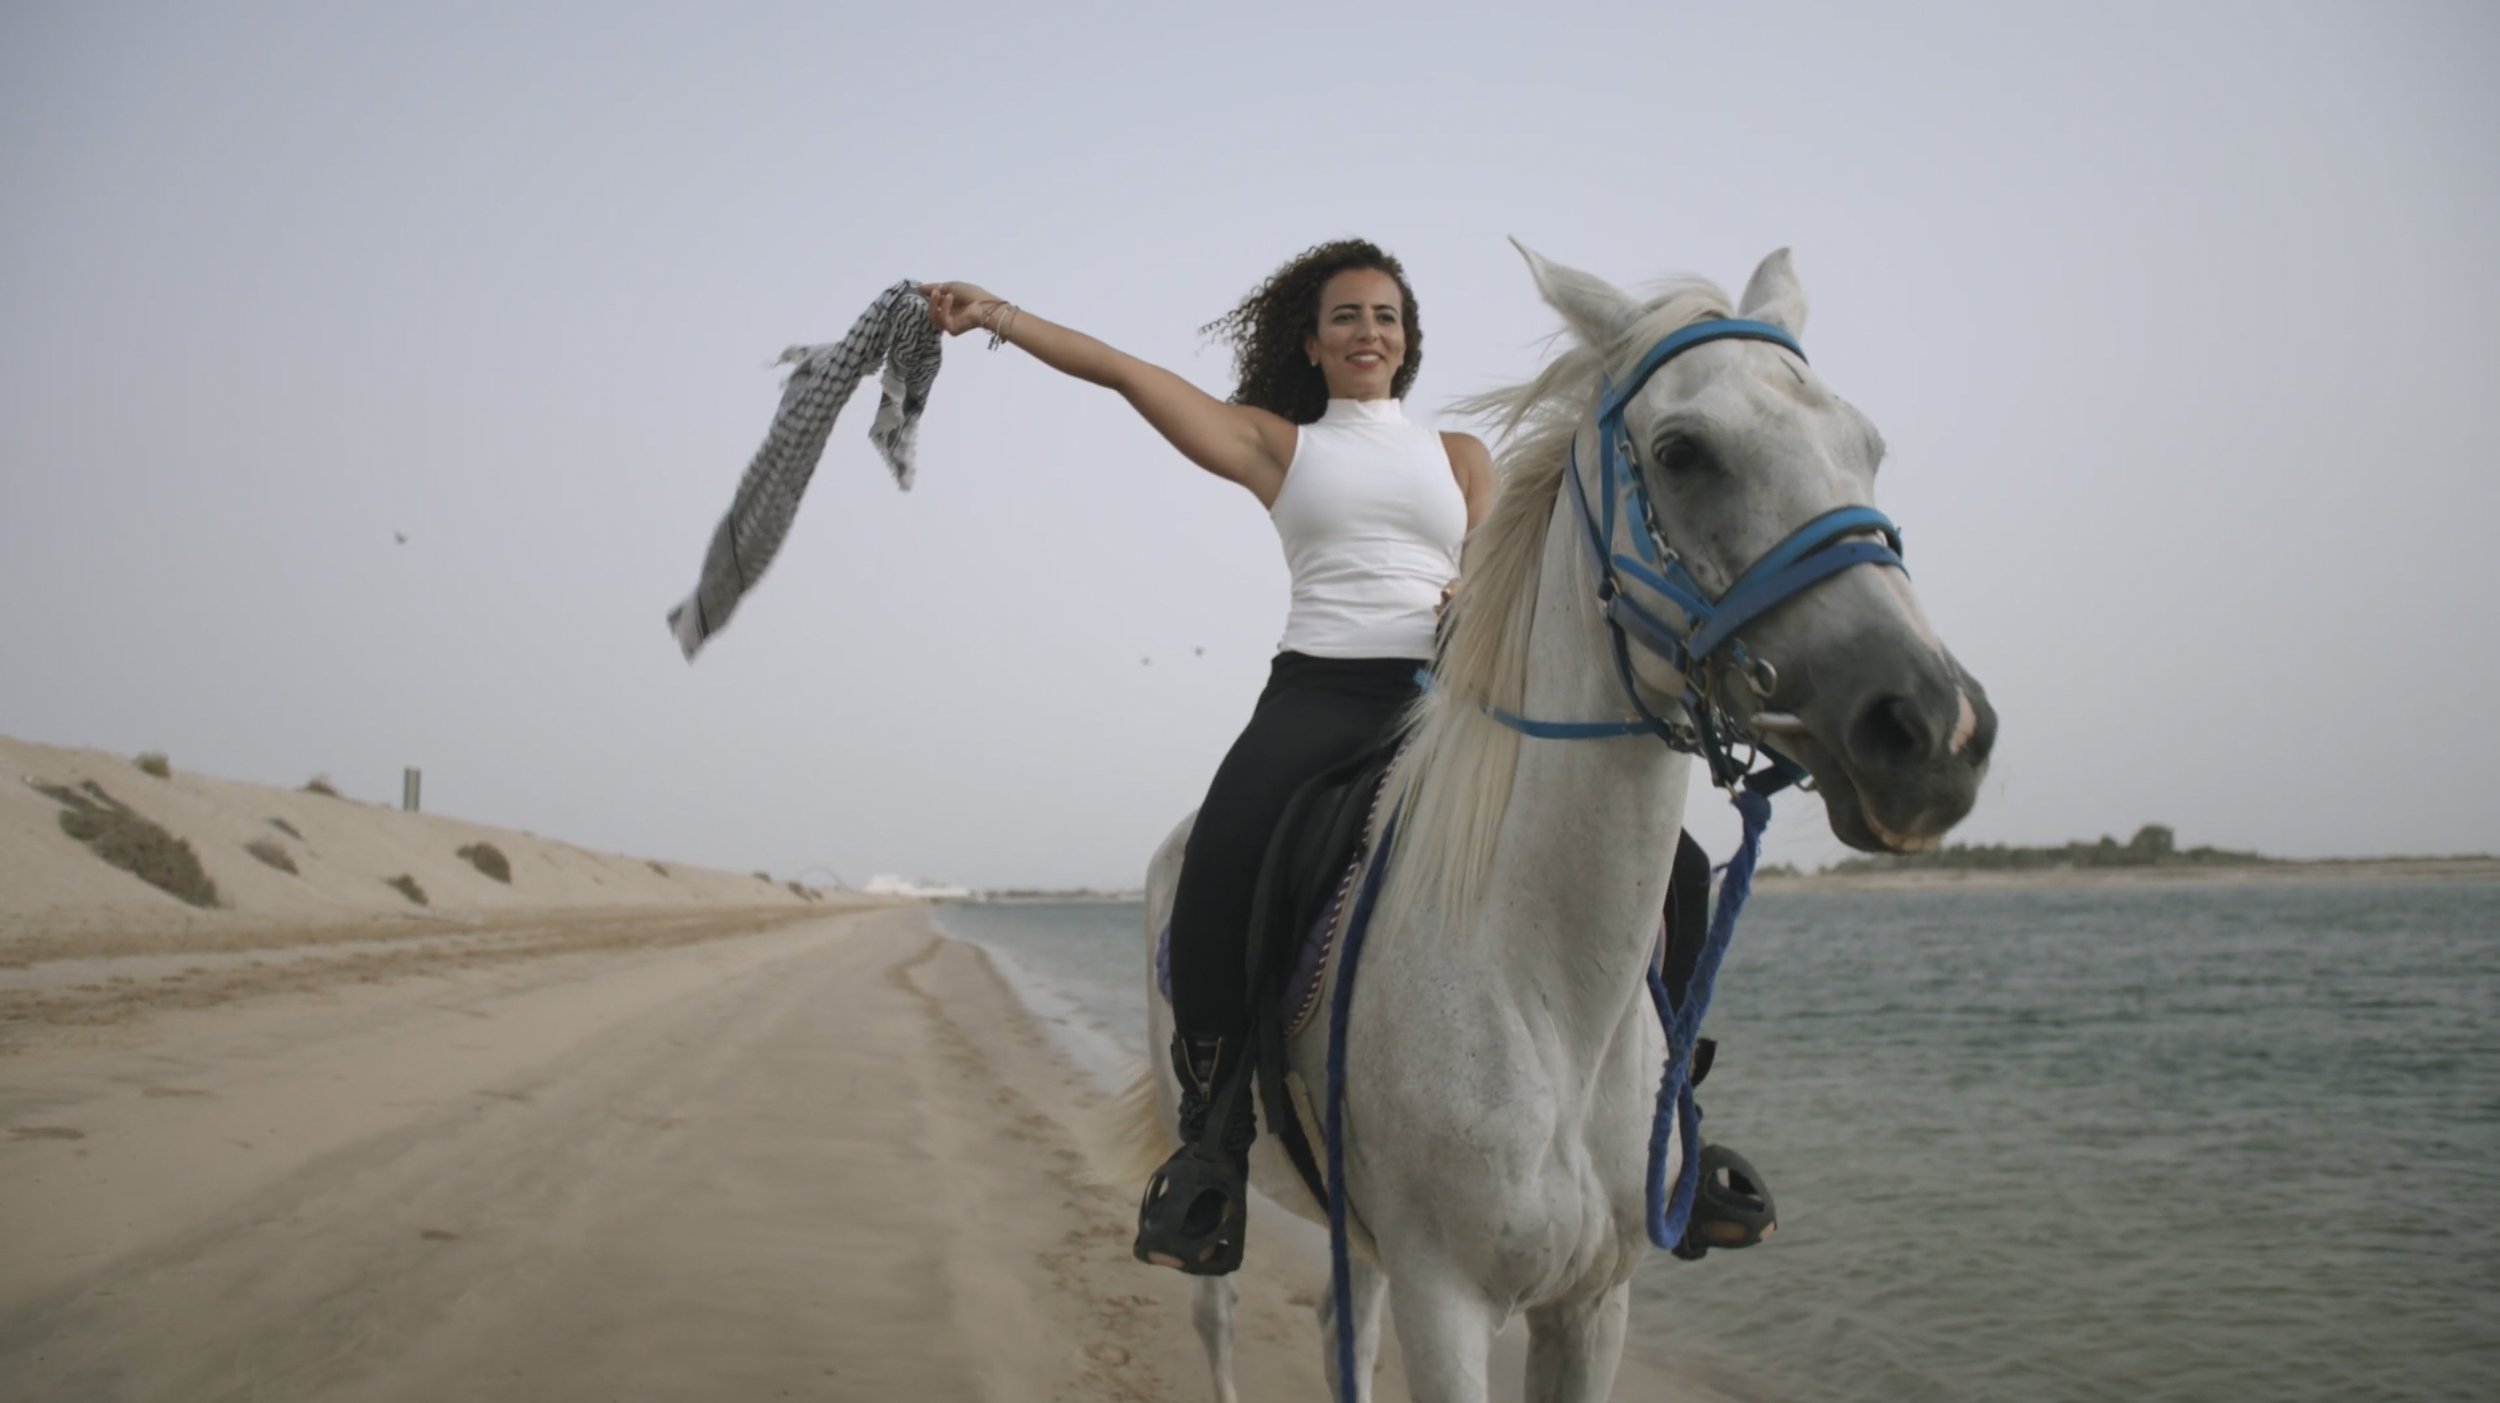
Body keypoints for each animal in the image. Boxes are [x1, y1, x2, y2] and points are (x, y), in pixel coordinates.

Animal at [1125, 243, 1995, 1403]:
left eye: (1866, 447)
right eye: (1681, 452)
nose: (1935, 729)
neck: (1544, 987)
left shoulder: (1592, 1303)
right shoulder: (1449, 1303)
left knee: (1339, 1325)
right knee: (1215, 1312)